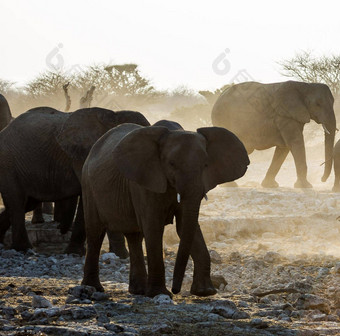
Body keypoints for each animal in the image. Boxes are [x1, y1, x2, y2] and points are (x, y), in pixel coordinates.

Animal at [0, 106, 149, 253]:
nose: (61, 230)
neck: (113, 115)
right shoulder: (84, 156)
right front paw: (120, 255)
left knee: (26, 203)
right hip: (8, 164)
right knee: (17, 203)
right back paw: (24, 248)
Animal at [80, 122, 248, 296]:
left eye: (205, 165)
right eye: (171, 164)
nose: (176, 290)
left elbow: (185, 226)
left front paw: (205, 292)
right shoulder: (145, 181)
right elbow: (153, 227)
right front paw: (159, 294)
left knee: (134, 236)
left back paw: (138, 291)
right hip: (88, 185)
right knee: (95, 232)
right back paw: (94, 288)